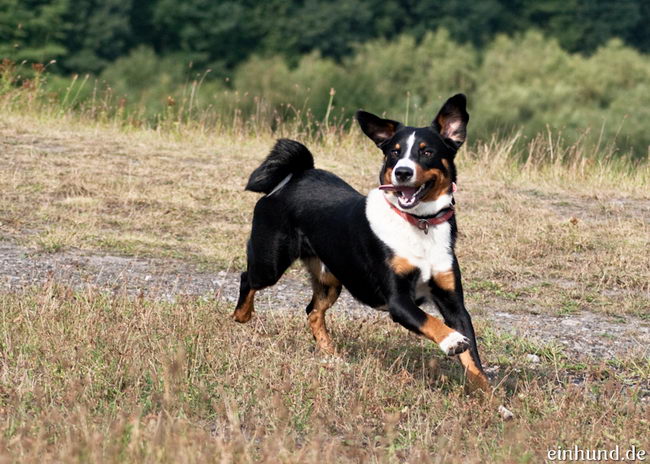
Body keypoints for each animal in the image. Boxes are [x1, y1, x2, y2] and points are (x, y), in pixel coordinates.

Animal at [230, 94, 488, 392]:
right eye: (394, 153)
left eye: (426, 152)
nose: (402, 172)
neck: (419, 224)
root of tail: (296, 175)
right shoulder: (399, 301)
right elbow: (431, 321)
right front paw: (451, 340)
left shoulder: (453, 301)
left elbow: (474, 360)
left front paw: (490, 397)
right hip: (270, 263)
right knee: (248, 279)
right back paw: (241, 316)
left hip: (329, 279)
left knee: (312, 311)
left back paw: (331, 354)